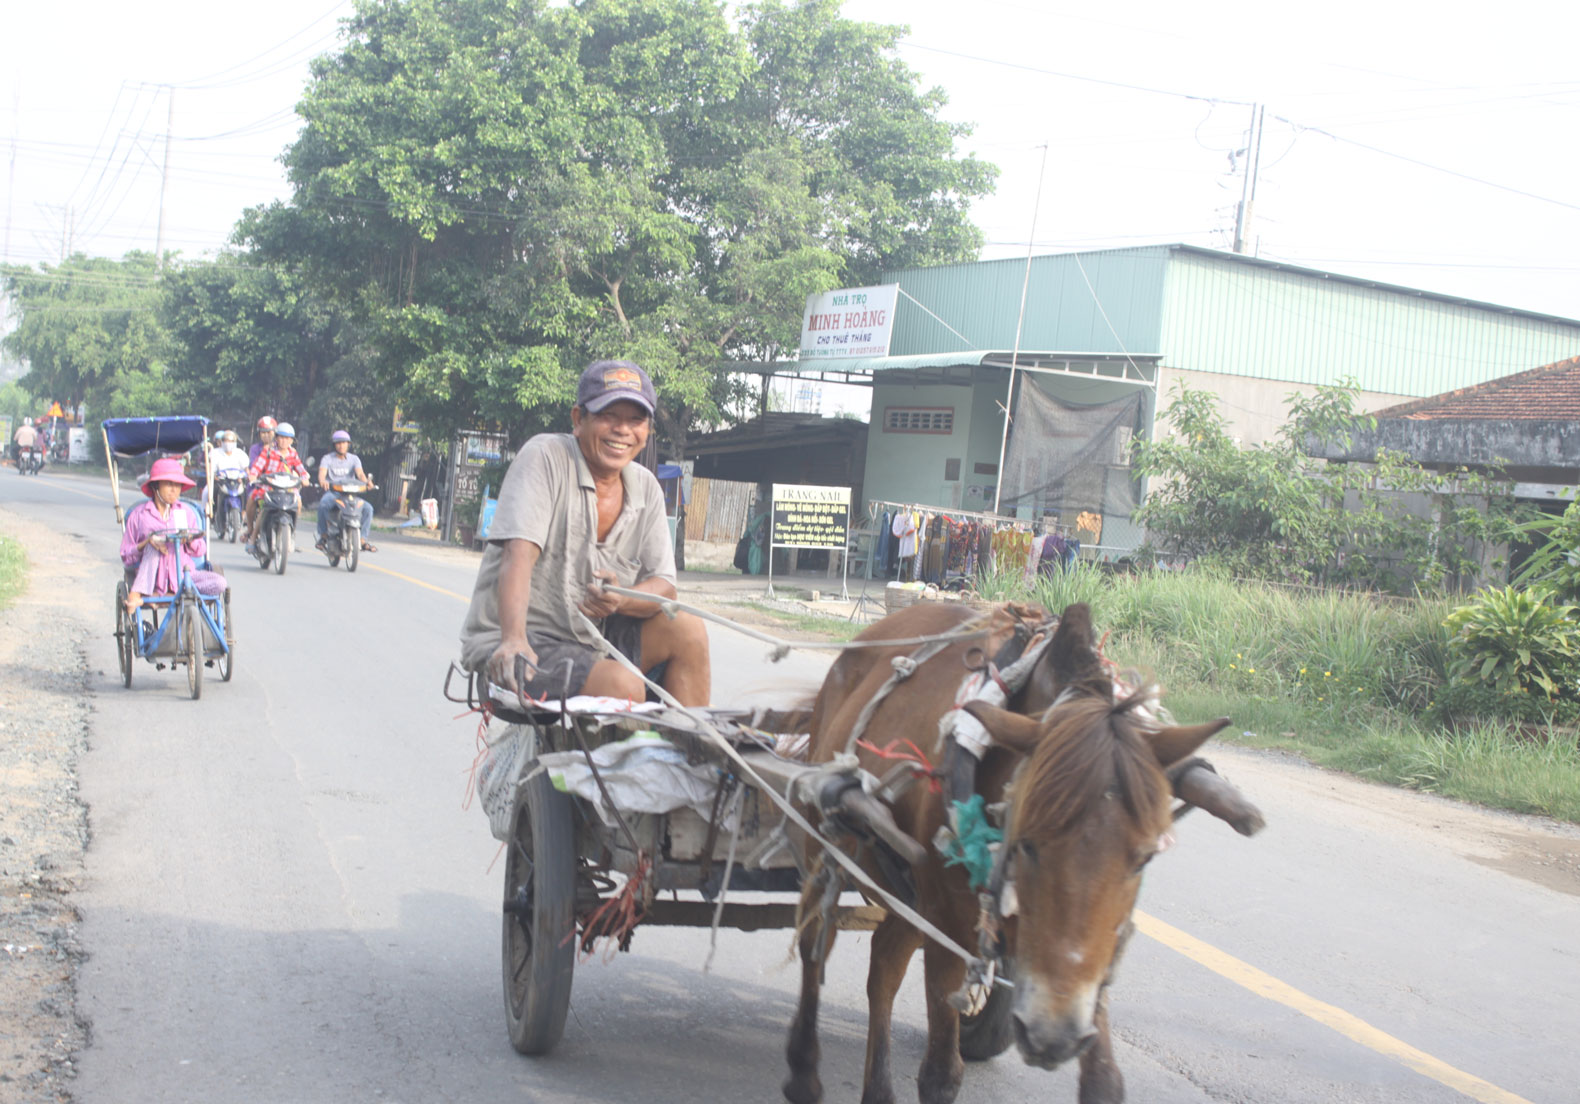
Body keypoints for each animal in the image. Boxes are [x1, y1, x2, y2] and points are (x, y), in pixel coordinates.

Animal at [786, 603, 1232, 1104]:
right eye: (1027, 844)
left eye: (1144, 859)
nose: (1052, 1035)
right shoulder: (949, 923)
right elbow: (940, 1075)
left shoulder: (1087, 954)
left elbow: (1104, 1082)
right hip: (826, 842)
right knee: (815, 942)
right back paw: (803, 1072)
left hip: (909, 893)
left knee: (883, 964)